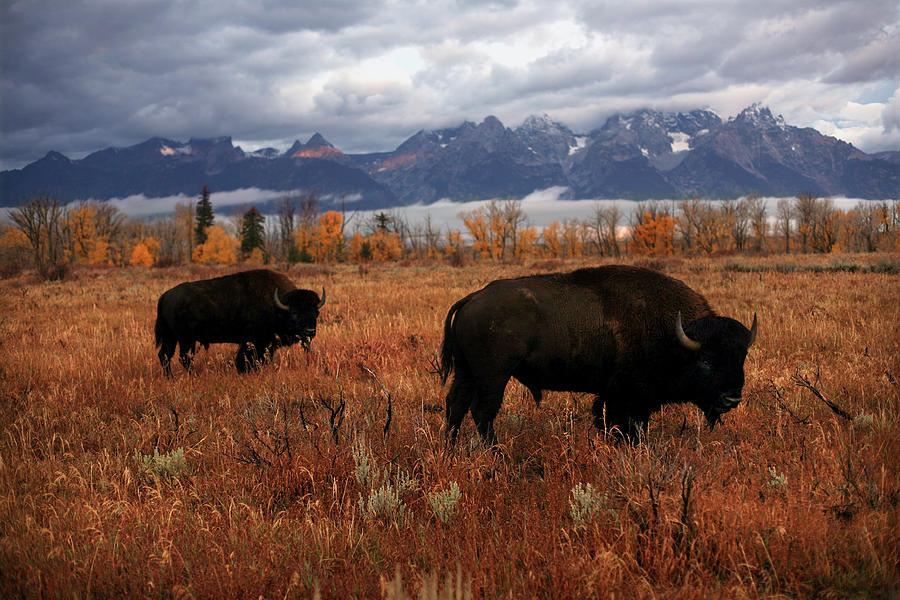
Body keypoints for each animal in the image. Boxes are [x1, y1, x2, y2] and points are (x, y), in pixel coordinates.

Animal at [156, 268, 326, 376]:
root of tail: (165, 296)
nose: (310, 332)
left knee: (165, 355)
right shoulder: (252, 341)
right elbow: (244, 359)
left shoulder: (267, 344)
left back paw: (170, 377)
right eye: (295, 313)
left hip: (171, 337)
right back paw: (194, 376)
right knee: (184, 357)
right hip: (186, 339)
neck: (278, 306)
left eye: (316, 313)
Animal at [440, 268, 756, 446]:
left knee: (456, 404)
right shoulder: (627, 398)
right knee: (482, 411)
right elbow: (625, 428)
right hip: (494, 376)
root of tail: (472, 298)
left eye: (741, 358)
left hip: (466, 371)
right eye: (706, 361)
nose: (732, 398)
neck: (673, 337)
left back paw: (451, 450)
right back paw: (497, 454)